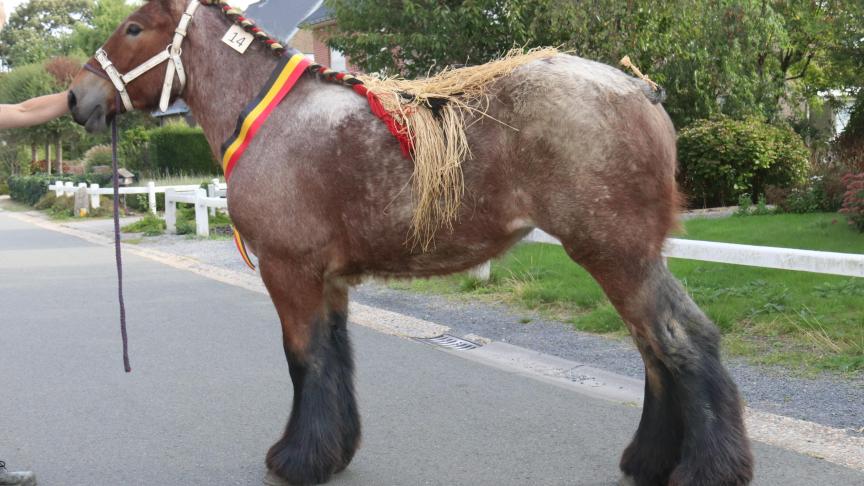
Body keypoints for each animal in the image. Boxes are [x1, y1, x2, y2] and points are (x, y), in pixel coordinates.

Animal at [67, 1, 752, 484]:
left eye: (133, 28)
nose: (77, 96)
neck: (272, 115)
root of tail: (639, 89)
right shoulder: (330, 280)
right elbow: (335, 358)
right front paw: (332, 452)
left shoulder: (288, 271)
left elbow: (304, 359)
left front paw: (297, 460)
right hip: (628, 257)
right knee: (657, 347)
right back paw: (649, 460)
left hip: (616, 255)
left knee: (679, 340)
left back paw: (708, 469)